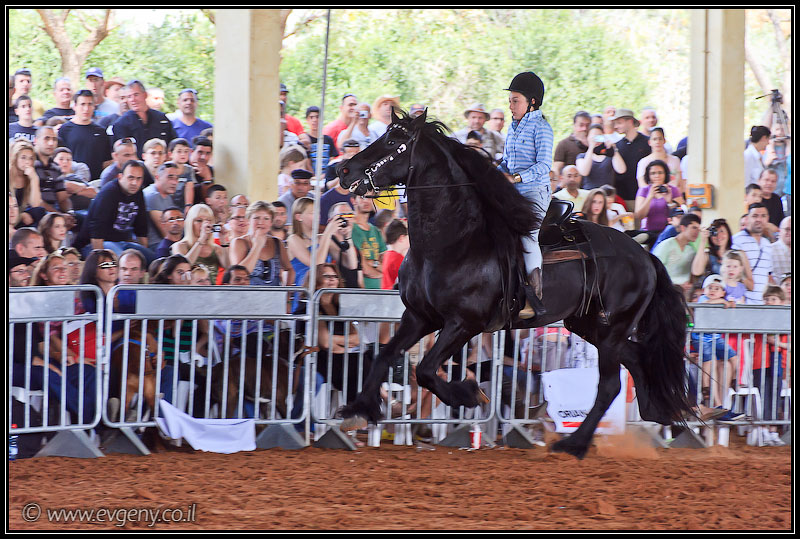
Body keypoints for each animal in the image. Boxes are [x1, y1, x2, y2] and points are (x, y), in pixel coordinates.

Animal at [335, 109, 693, 459]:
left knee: (610, 386)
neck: (454, 242)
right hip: (591, 325)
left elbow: (424, 370)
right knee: (637, 360)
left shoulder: (463, 324)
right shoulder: (419, 317)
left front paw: (468, 394)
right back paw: (654, 413)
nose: (343, 169)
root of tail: (645, 255)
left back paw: (574, 445)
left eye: (393, 141)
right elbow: (384, 356)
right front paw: (357, 409)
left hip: (611, 329)